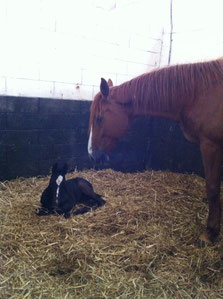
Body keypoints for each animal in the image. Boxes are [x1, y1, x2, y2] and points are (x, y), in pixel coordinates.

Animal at [88, 58, 223, 244]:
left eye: (99, 118)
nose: (92, 154)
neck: (198, 94)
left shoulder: (211, 145)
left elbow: (213, 188)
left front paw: (210, 232)